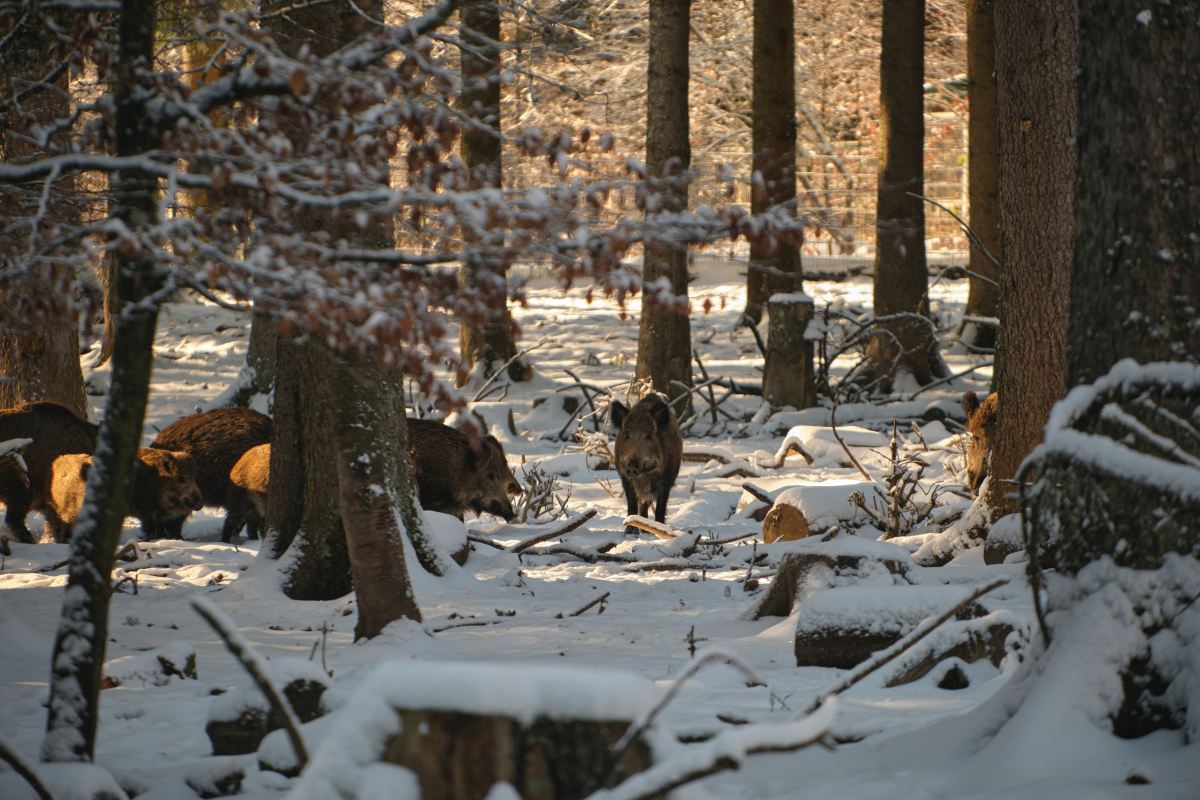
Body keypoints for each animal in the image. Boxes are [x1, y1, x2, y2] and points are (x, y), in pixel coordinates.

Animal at [43, 448, 203, 542]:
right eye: (181, 479)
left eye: (195, 477)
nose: (199, 504)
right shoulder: (148, 513)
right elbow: (152, 530)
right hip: (71, 513)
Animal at [611, 394, 683, 528]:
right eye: (626, 434)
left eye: (649, 435)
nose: (632, 467)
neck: (644, 476)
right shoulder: (625, 478)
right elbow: (632, 506)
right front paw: (630, 531)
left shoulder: (666, 481)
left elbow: (660, 509)